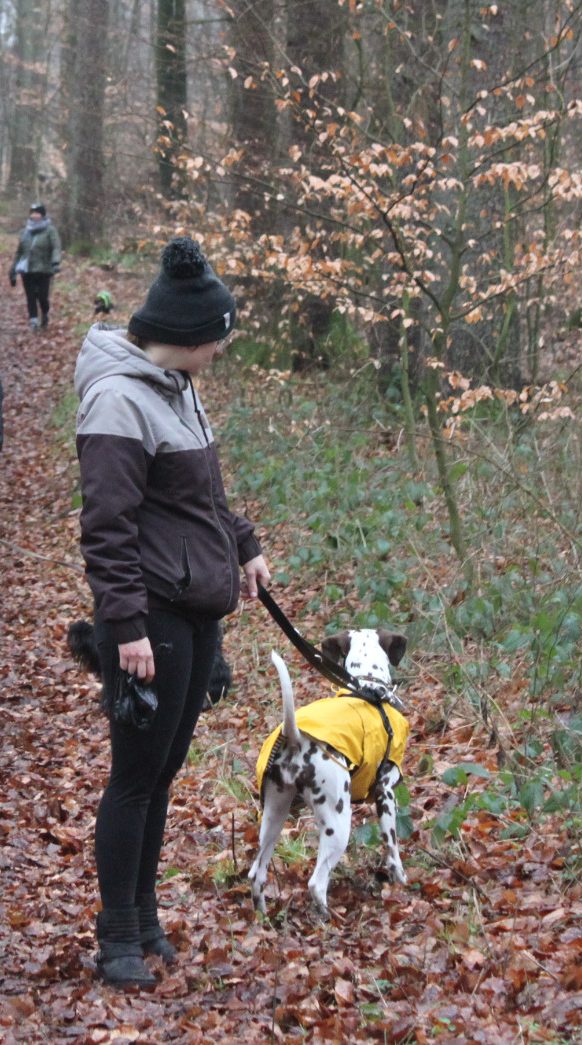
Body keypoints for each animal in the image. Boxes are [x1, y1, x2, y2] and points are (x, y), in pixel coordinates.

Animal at [249, 627, 407, 915]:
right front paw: (400, 880)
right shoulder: (386, 793)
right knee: (316, 883)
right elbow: (393, 850)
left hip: (274, 817)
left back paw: (263, 916)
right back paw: (329, 917)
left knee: (257, 874)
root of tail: (295, 738)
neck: (368, 686)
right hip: (338, 823)